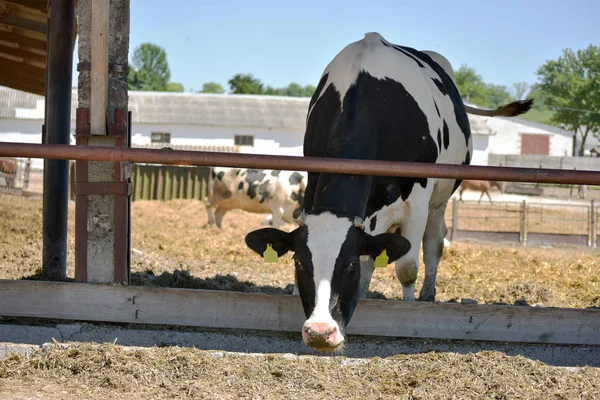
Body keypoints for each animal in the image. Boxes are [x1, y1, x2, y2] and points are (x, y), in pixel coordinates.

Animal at [241, 32, 532, 352]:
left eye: (349, 265)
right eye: (299, 263)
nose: (320, 332)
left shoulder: (417, 202)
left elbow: (407, 267)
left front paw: (405, 312)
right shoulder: (313, 181)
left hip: (440, 197)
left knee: (435, 239)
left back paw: (427, 293)